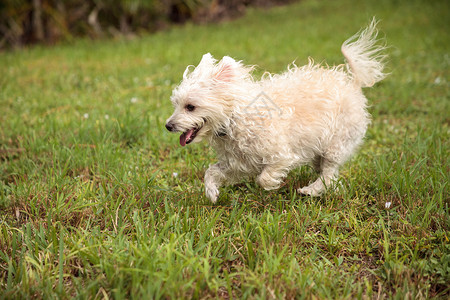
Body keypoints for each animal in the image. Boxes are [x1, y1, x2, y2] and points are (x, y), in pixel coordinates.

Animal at [165, 18, 386, 202]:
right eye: (175, 104)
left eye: (190, 107)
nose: (168, 126)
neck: (234, 118)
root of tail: (353, 84)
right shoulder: (236, 163)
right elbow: (211, 172)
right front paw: (212, 192)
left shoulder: (281, 155)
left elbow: (263, 177)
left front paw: (272, 183)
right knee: (325, 171)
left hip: (336, 143)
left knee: (329, 174)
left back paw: (311, 190)